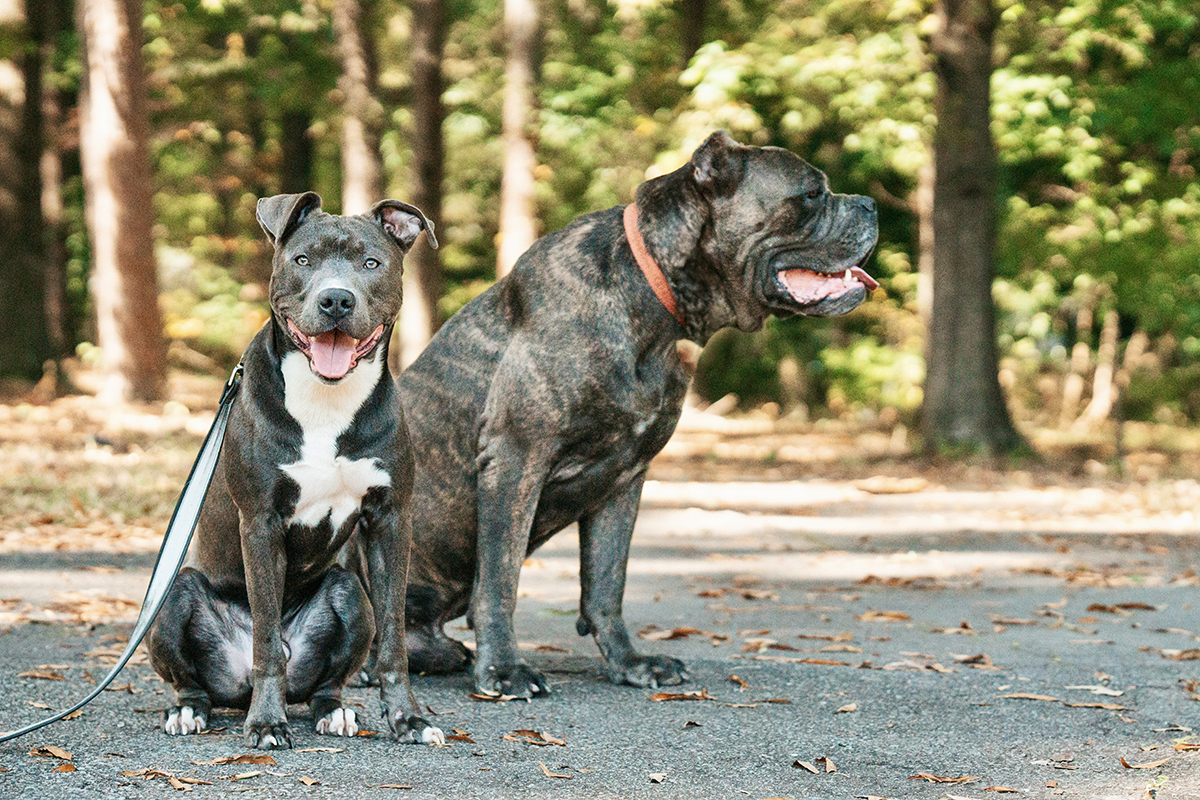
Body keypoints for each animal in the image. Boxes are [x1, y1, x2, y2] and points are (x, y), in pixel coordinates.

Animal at [146, 194, 446, 753]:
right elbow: (266, 639)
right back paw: (190, 712)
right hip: (174, 595)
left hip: (349, 592)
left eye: (371, 263)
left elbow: (395, 640)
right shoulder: (261, 522)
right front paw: (268, 723)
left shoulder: (391, 520)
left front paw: (409, 719)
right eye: (303, 259)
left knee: (327, 682)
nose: (336, 300)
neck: (326, 400)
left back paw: (336, 712)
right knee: (195, 681)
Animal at [403, 128, 883, 695]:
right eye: (811, 194)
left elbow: (606, 583)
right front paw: (502, 668)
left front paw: (630, 662)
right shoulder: (515, 460)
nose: (871, 204)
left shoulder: (623, 478)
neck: (652, 302)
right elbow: (500, 579)